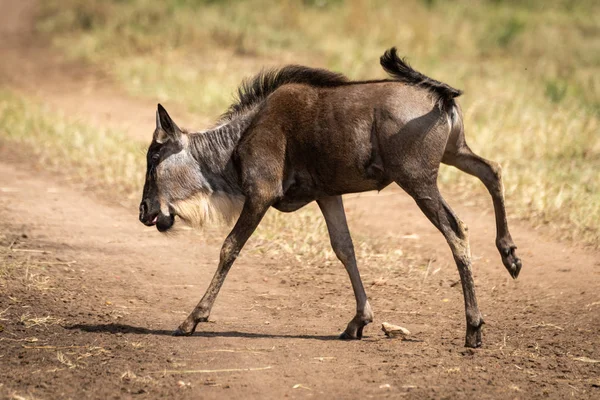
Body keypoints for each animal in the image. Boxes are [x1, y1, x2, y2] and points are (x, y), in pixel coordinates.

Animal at [137, 47, 520, 346]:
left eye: (153, 157)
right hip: (455, 153)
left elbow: (229, 247)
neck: (238, 138)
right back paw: (510, 256)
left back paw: (473, 327)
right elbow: (344, 248)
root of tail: (441, 99)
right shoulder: (328, 195)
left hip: (418, 181)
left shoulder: (260, 194)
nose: (143, 212)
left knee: (457, 230)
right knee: (493, 171)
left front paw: (192, 319)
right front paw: (358, 321)